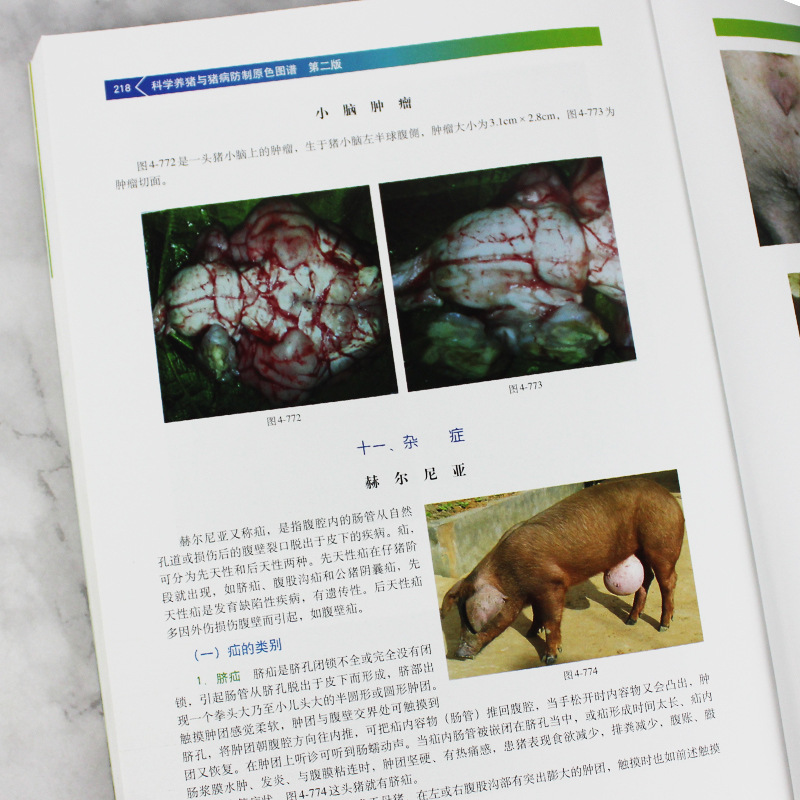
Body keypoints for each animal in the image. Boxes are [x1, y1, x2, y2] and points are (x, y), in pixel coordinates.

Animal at [439, 478, 685, 665]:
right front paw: (530, 632)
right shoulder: (536, 591)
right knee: (646, 578)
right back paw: (631, 621)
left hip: (661, 544)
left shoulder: (552, 585)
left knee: (668, 581)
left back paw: (663, 626)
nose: (458, 654)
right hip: (640, 549)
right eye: (459, 616)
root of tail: (668, 496)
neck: (511, 578)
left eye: (471, 621)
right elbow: (537, 613)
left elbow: (552, 621)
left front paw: (548, 658)